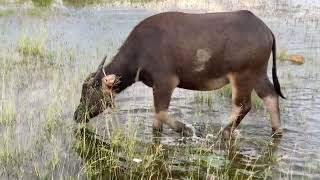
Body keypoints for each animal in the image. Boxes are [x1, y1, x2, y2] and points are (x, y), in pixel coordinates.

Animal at [74, 10, 284, 137]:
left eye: (89, 92)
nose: (77, 115)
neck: (140, 52)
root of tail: (266, 30)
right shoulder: (158, 86)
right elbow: (157, 122)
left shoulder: (166, 82)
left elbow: (160, 111)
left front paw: (186, 130)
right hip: (258, 74)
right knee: (270, 96)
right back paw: (276, 131)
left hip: (242, 75)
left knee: (243, 105)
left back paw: (223, 133)